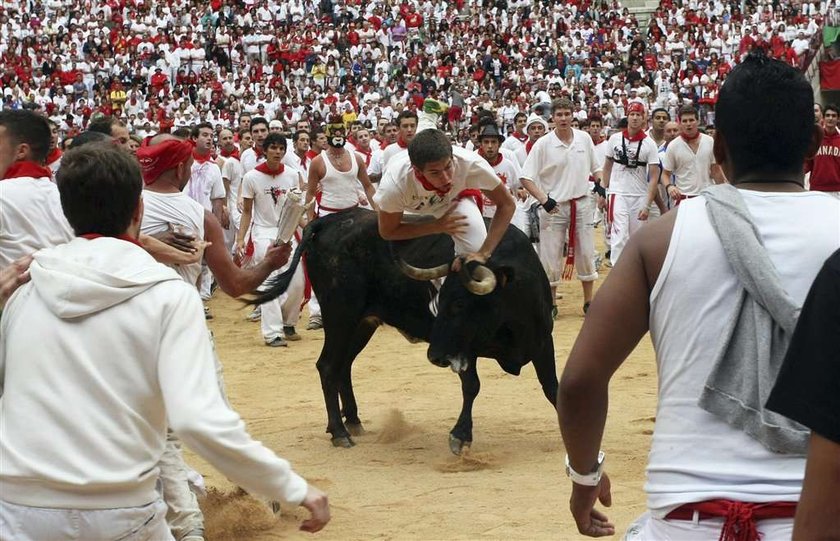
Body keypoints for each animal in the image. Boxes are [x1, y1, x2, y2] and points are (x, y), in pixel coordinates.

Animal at [253, 209, 560, 454]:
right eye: (438, 301)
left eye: (460, 304)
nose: (435, 356)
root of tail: (330, 220)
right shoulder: (463, 348)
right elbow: (472, 386)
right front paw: (460, 436)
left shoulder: (543, 343)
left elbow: (552, 387)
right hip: (340, 316)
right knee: (328, 366)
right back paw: (339, 432)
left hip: (362, 324)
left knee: (343, 366)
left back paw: (353, 421)